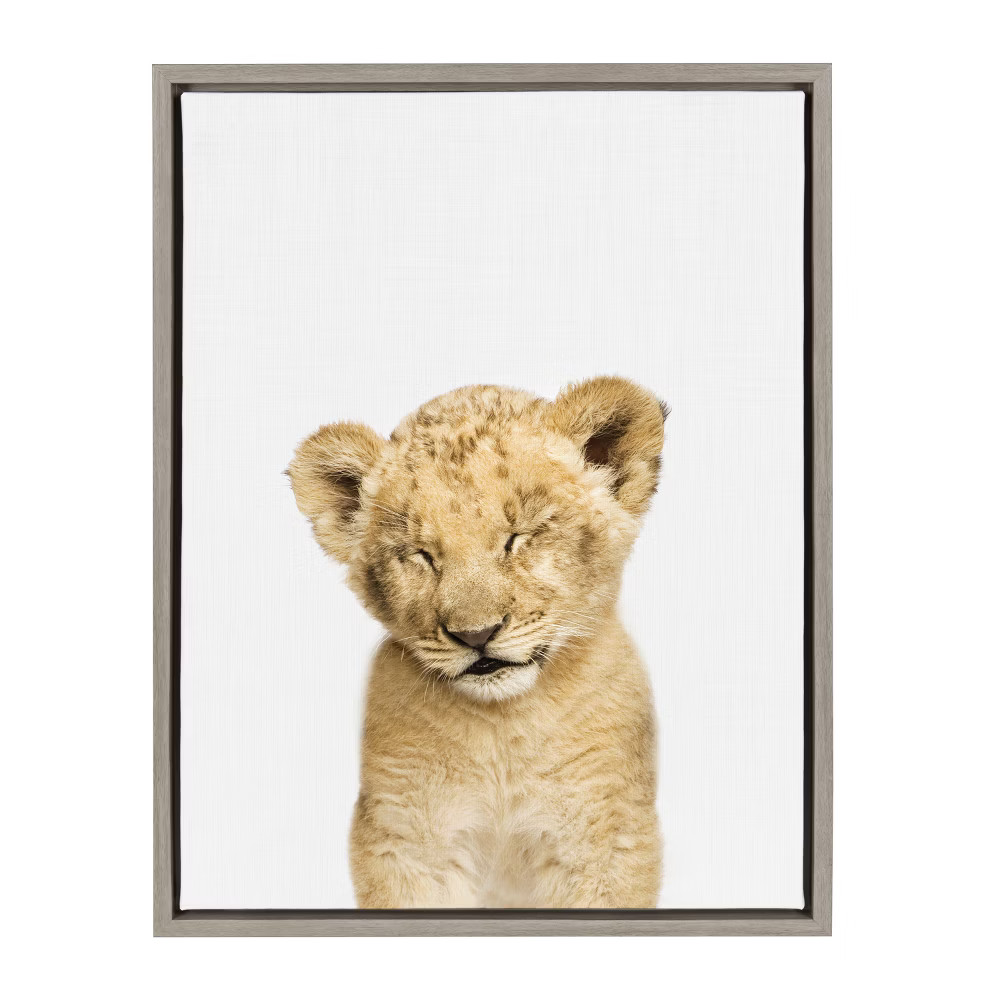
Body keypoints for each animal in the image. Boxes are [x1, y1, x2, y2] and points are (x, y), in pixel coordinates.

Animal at [287, 376, 667, 908]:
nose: (476, 634)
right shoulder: (403, 840)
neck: (502, 728)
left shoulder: (605, 838)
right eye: (421, 555)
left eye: (519, 537)